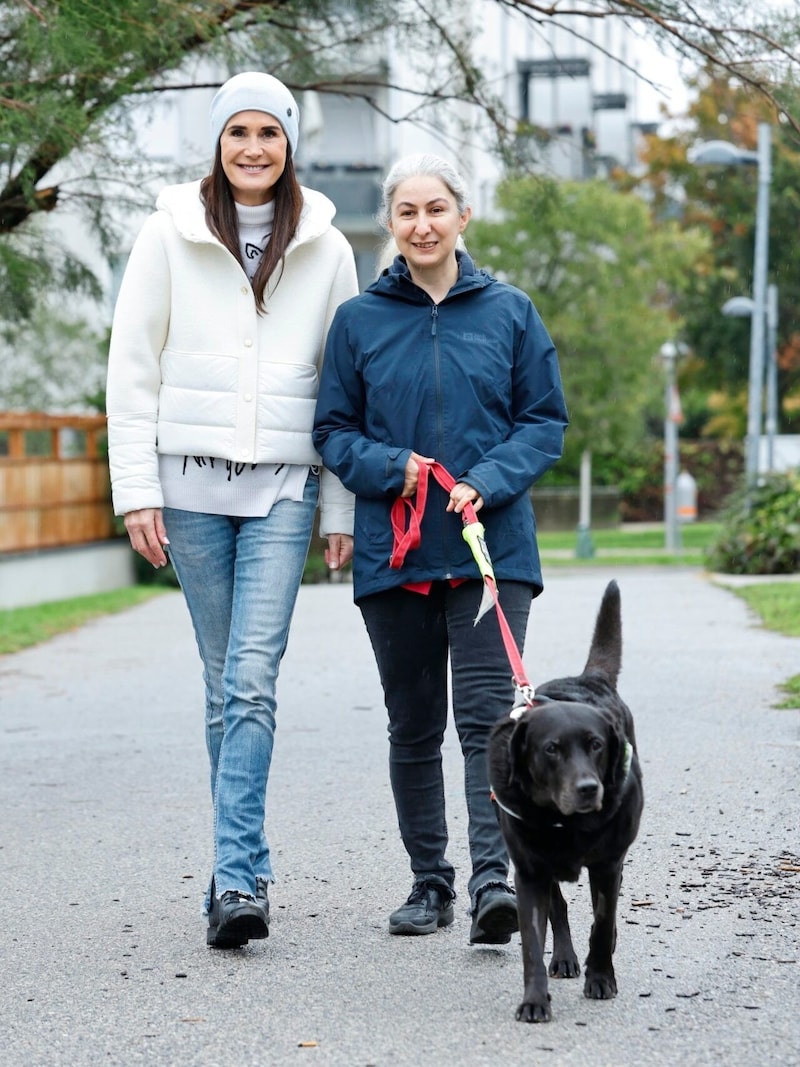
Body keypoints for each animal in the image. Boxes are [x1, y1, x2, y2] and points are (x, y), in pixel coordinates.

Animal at [488, 584, 644, 1024]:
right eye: (551, 749)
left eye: (596, 745)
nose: (589, 788)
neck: (563, 820)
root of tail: (586, 678)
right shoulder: (528, 872)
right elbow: (532, 942)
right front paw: (534, 1000)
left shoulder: (608, 864)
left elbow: (603, 923)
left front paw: (601, 978)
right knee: (557, 907)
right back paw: (564, 958)